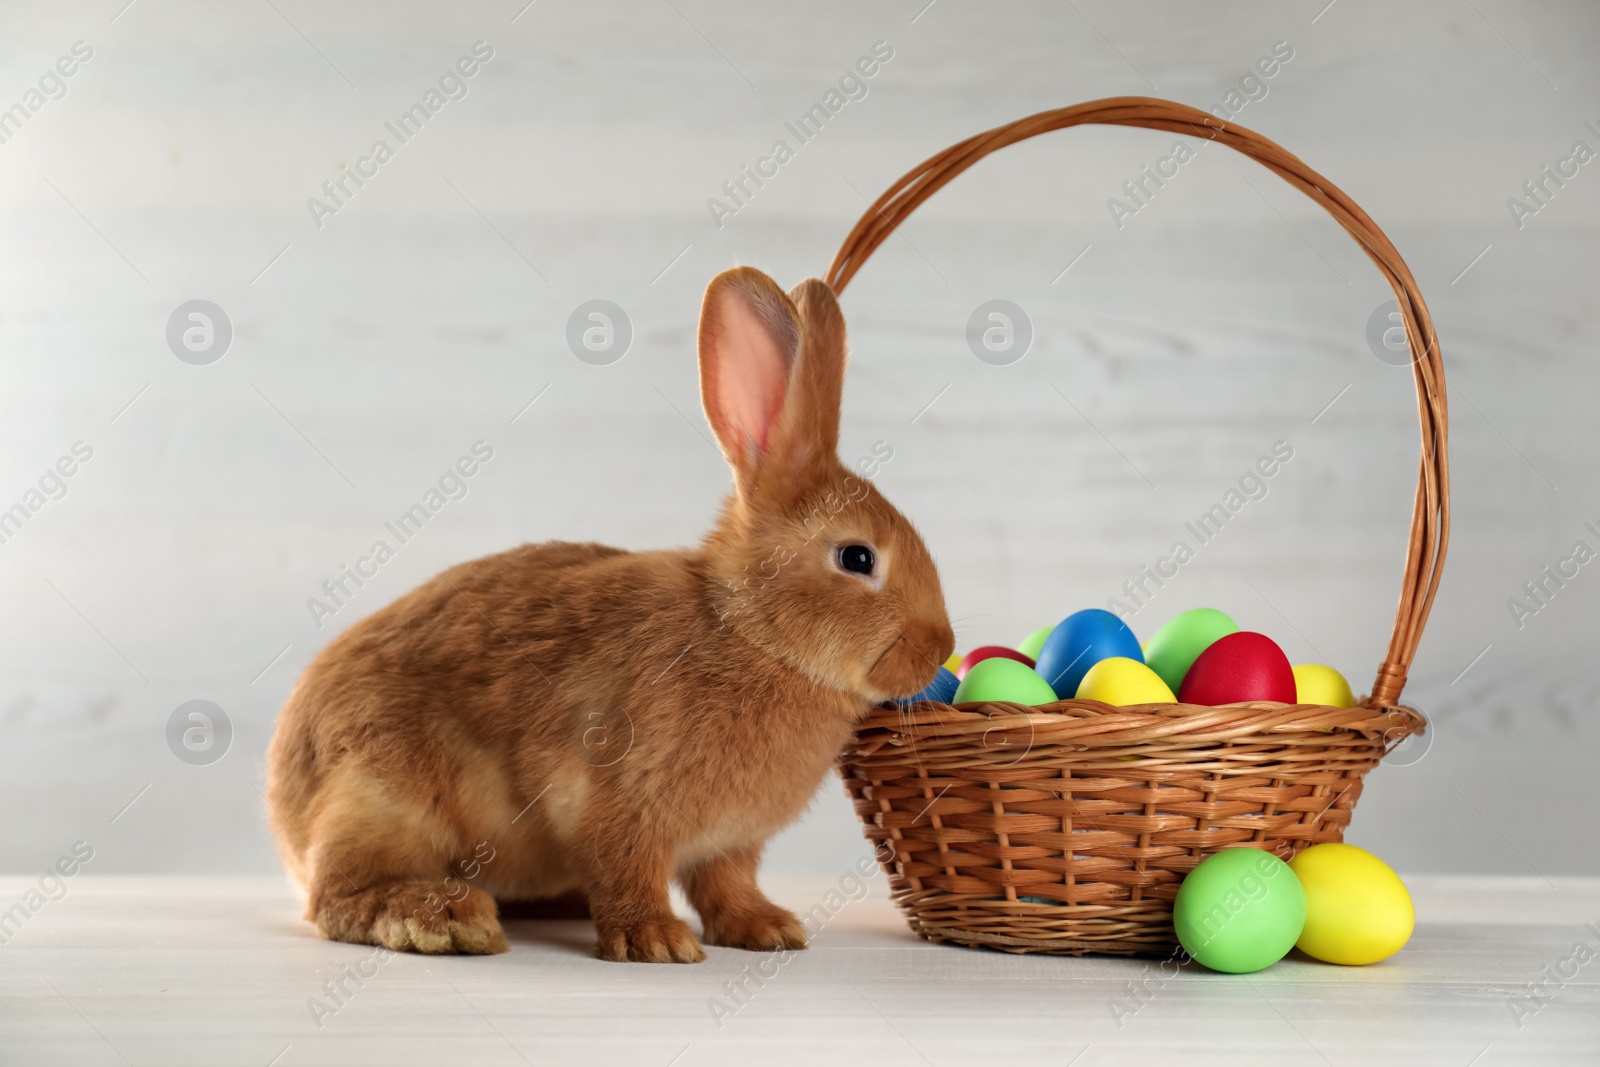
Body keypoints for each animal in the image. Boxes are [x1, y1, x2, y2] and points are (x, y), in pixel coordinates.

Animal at [268, 265, 953, 959]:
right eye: (857, 557)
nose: (939, 649)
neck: (750, 635)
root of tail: (285, 809)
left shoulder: (729, 844)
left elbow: (726, 884)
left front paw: (768, 929)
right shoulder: (613, 796)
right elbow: (628, 867)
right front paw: (657, 941)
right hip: (380, 794)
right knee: (337, 896)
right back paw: (446, 918)